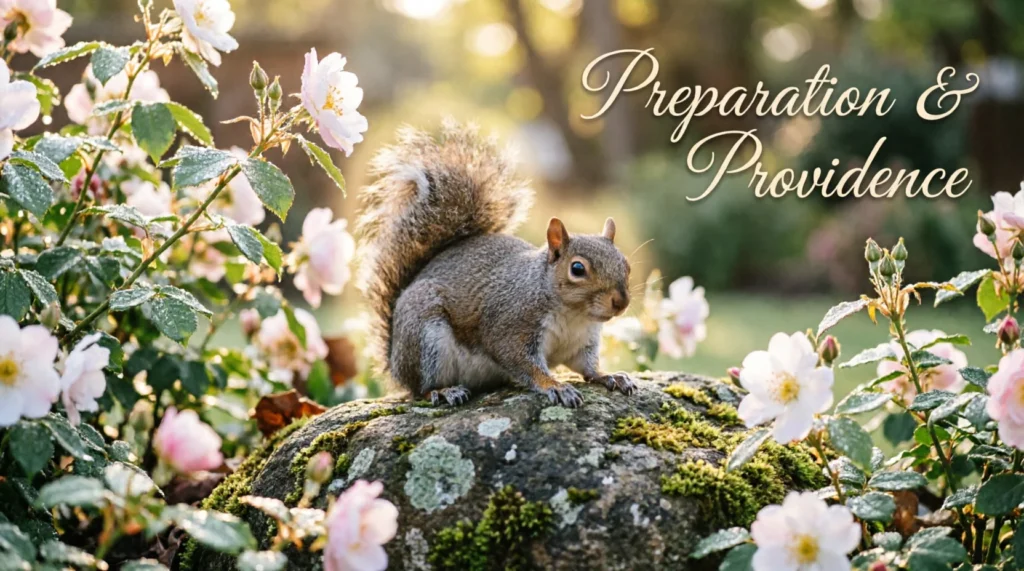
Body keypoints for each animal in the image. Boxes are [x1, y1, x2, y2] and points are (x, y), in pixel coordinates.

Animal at [356, 120, 636, 407]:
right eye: (577, 269)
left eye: (626, 265)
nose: (621, 301)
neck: (574, 315)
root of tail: (394, 361)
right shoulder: (511, 327)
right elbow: (522, 363)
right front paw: (556, 386)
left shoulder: (582, 342)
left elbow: (587, 367)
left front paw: (609, 375)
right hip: (425, 338)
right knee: (419, 389)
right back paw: (444, 391)